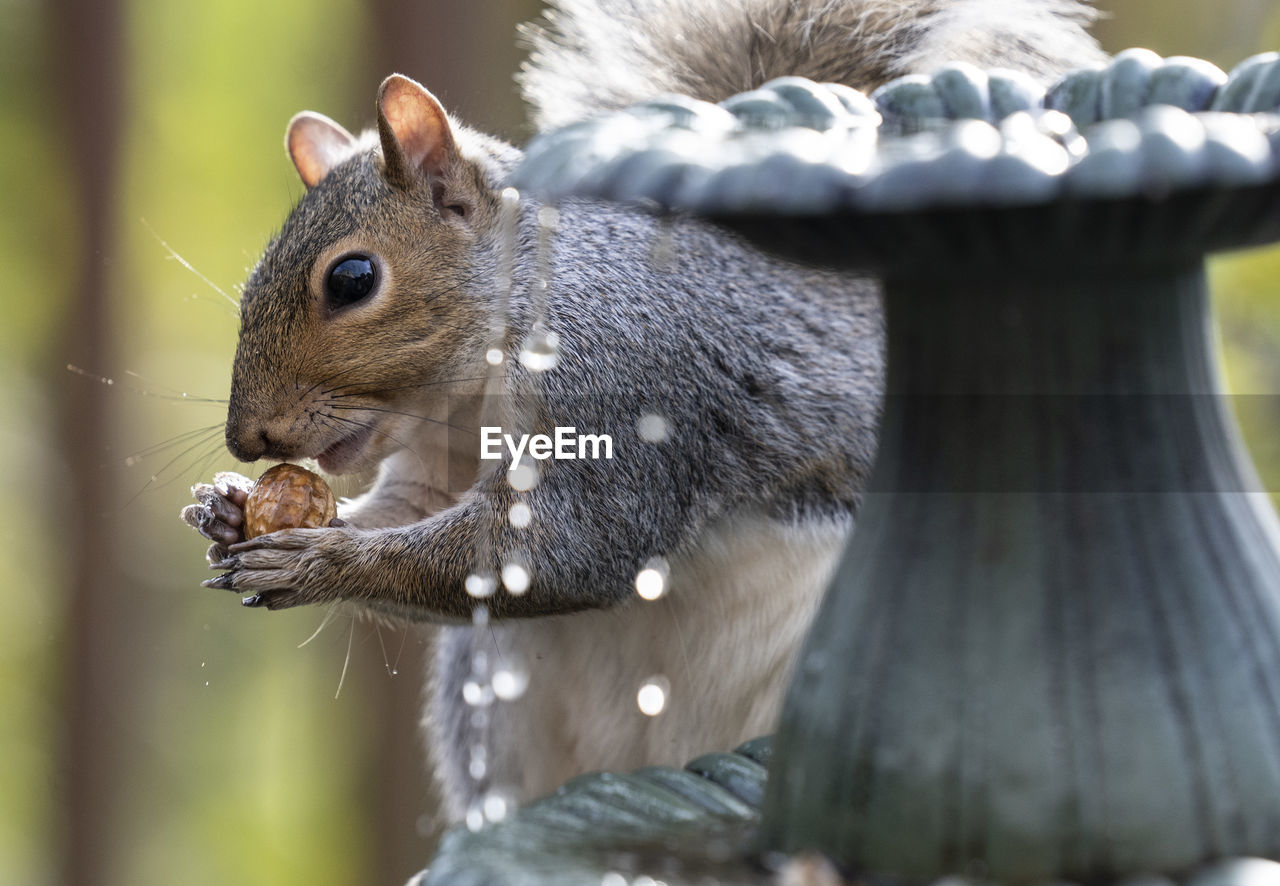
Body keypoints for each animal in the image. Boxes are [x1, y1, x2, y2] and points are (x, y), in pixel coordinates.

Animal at [177, 0, 1100, 824]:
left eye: (352, 278)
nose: (247, 438)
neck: (478, 378)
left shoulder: (624, 381)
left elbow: (566, 548)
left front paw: (314, 562)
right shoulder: (431, 462)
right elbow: (412, 512)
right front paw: (228, 509)